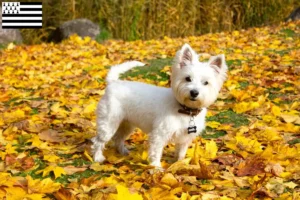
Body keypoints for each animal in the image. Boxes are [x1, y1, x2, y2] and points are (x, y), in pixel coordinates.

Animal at [91, 43, 227, 167]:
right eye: (188, 78)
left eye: (206, 83)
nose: (194, 92)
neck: (185, 110)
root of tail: (113, 83)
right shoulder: (159, 135)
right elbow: (156, 153)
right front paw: (156, 169)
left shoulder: (184, 138)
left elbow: (181, 153)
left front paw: (179, 164)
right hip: (109, 123)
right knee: (98, 141)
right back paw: (98, 157)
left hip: (127, 124)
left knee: (118, 138)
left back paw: (123, 152)